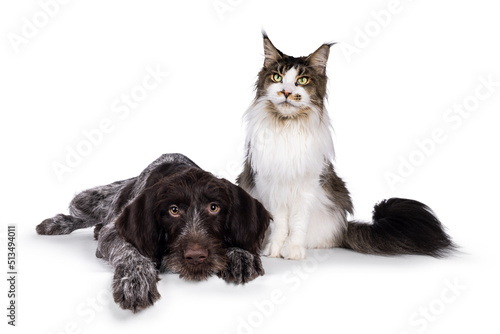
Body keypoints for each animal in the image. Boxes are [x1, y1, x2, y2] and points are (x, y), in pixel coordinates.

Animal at [37, 154, 272, 314]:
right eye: (173, 210)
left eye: (214, 207)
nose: (196, 256)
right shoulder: (113, 232)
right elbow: (130, 251)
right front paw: (135, 278)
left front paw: (240, 253)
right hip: (86, 200)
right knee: (82, 216)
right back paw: (54, 224)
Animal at [236, 32, 456, 260]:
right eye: (277, 78)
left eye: (302, 80)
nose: (287, 92)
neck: (287, 126)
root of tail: (343, 227)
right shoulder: (269, 183)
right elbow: (280, 223)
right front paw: (275, 249)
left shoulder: (307, 184)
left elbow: (297, 223)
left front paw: (294, 249)